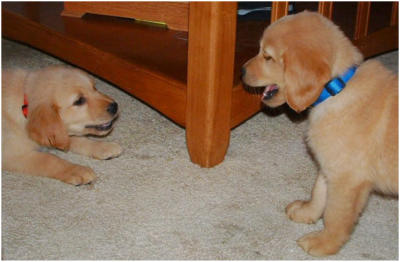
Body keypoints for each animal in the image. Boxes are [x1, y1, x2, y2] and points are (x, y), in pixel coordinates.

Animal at [241, 11, 396, 256]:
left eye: (267, 57)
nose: (241, 71)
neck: (337, 89)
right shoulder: (330, 164)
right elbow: (319, 192)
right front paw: (306, 212)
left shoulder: (347, 179)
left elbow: (335, 215)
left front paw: (325, 242)